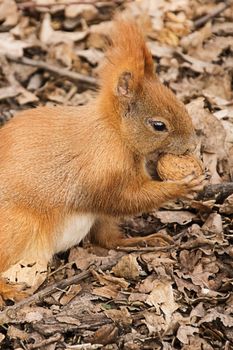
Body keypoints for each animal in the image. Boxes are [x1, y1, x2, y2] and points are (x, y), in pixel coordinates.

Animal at [0, 20, 204, 302]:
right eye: (158, 125)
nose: (192, 145)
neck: (114, 132)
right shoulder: (102, 171)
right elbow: (125, 199)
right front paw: (181, 186)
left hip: (95, 220)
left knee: (106, 239)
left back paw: (141, 241)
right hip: (16, 227)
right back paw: (10, 290)